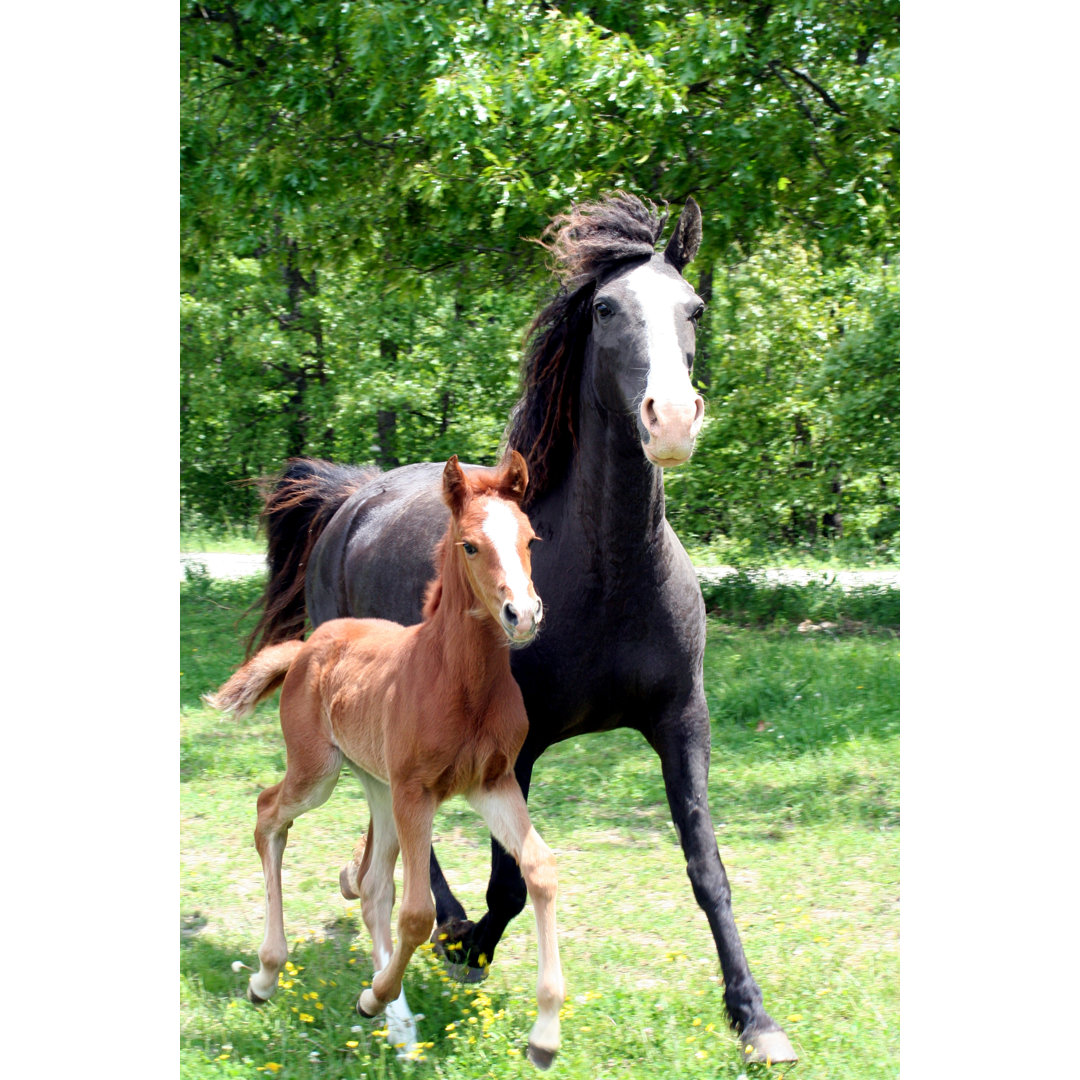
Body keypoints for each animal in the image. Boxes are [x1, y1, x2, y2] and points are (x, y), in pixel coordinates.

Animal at [206, 451, 570, 1067]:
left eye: (529, 538)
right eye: (470, 545)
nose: (522, 614)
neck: (461, 683)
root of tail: (306, 647)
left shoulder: (491, 783)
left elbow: (539, 869)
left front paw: (544, 1034)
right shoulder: (417, 791)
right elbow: (420, 913)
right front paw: (373, 996)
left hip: (374, 782)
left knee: (374, 886)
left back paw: (394, 1023)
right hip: (321, 772)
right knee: (268, 813)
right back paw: (267, 975)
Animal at [248, 194, 799, 1062]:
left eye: (695, 308)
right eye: (606, 309)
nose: (673, 420)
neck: (610, 576)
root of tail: (353, 495)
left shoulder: (683, 721)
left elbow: (706, 866)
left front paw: (754, 1017)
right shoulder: (522, 742)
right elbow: (507, 880)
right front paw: (469, 947)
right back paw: (433, 927)